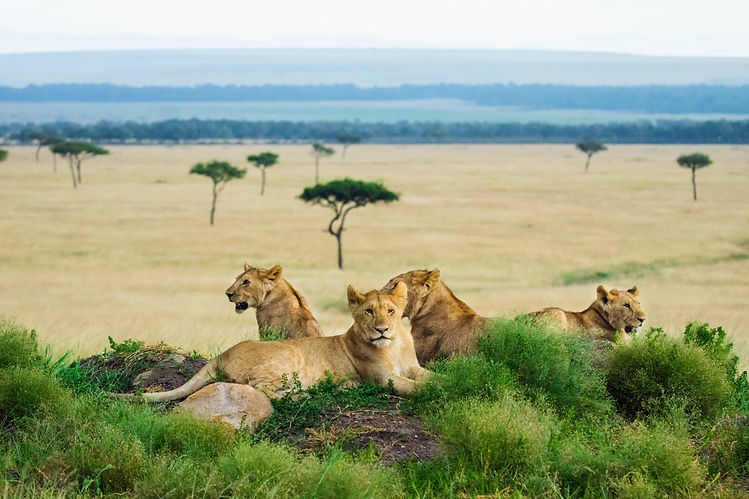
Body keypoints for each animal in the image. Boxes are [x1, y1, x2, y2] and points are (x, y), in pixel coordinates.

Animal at [121, 282, 431, 402]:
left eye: (390, 311)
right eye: (368, 311)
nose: (382, 329)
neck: (395, 344)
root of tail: (222, 354)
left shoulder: (413, 368)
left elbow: (431, 376)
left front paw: (442, 381)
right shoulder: (383, 379)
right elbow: (417, 387)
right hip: (290, 353)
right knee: (261, 389)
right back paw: (307, 394)